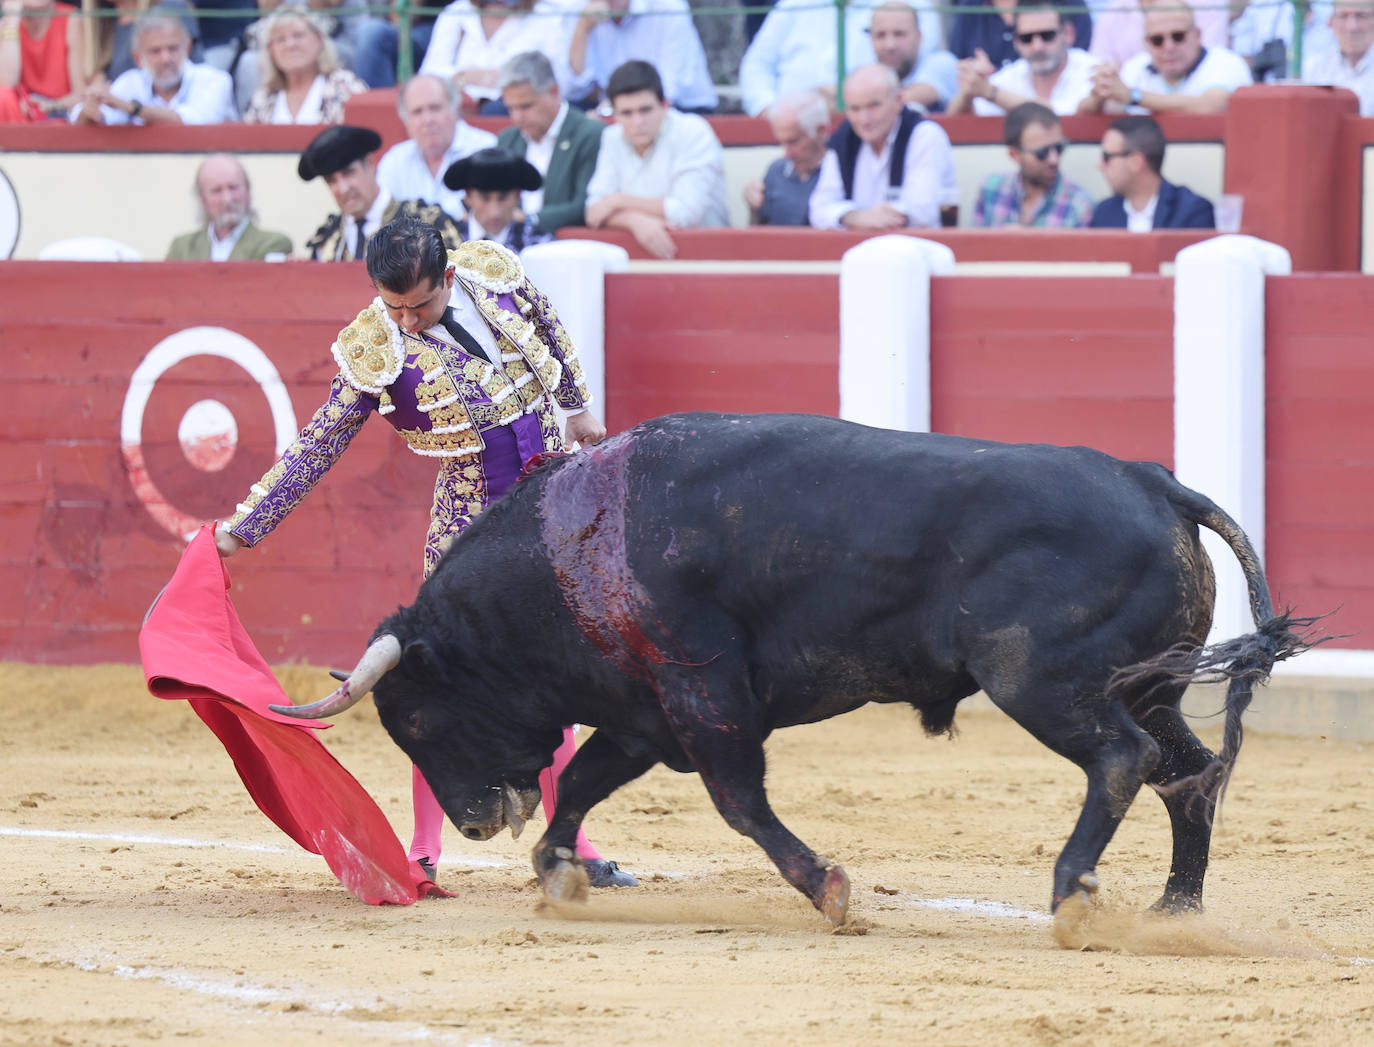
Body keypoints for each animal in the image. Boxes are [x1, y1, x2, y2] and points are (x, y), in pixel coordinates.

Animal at [270, 412, 1319, 923]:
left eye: (418, 717)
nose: (476, 822)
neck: (573, 548)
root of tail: (1155, 481)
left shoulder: (702, 691)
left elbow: (739, 801)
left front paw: (829, 888)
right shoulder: (648, 711)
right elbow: (586, 779)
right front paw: (559, 871)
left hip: (1044, 683)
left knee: (1123, 760)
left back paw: (1071, 892)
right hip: (1151, 682)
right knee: (1190, 772)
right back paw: (1174, 905)